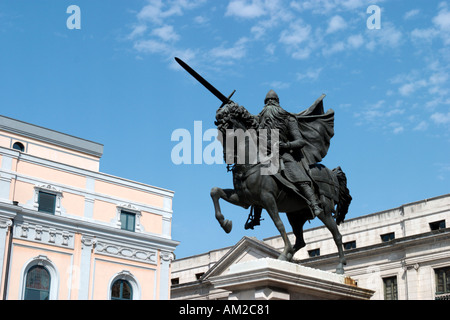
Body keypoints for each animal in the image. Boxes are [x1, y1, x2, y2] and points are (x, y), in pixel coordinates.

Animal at [209, 102, 354, 272]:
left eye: (229, 131)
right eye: (219, 135)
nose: (228, 157)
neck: (252, 163)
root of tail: (332, 174)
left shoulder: (267, 199)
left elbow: (279, 224)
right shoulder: (244, 199)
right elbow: (215, 192)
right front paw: (225, 224)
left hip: (324, 211)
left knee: (337, 235)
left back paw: (340, 266)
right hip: (296, 216)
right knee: (301, 241)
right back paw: (287, 258)